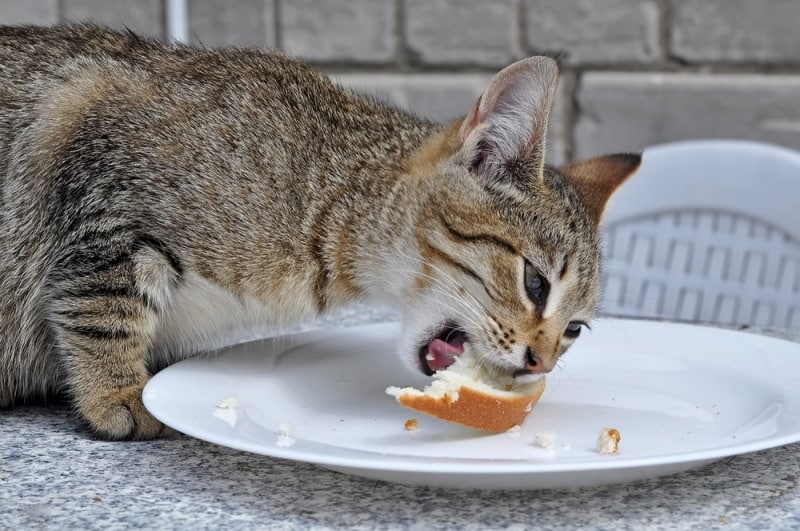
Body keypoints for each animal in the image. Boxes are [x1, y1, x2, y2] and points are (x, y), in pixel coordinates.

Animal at [0, 23, 640, 440]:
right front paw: (117, 391)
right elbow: (102, 305)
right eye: (536, 284)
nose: (541, 364)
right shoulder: (105, 173)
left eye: (575, 330)